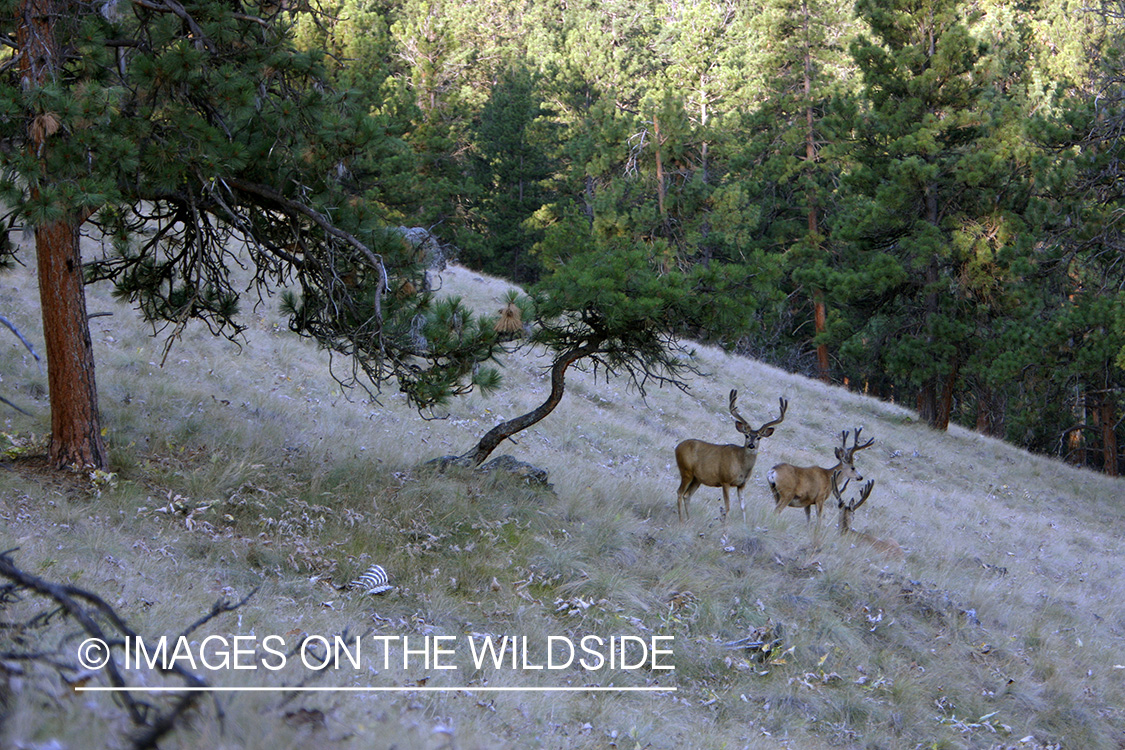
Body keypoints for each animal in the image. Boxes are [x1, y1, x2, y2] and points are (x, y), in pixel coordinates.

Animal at [675, 391, 788, 523]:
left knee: (687, 495)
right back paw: (681, 520)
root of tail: (677, 447)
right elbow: (728, 506)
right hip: (686, 470)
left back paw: (690, 519)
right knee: (679, 492)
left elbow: (743, 508)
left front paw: (743, 524)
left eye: (759, 437)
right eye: (746, 435)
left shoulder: (742, 484)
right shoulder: (725, 480)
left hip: (697, 478)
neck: (741, 465)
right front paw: (725, 524)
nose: (751, 445)